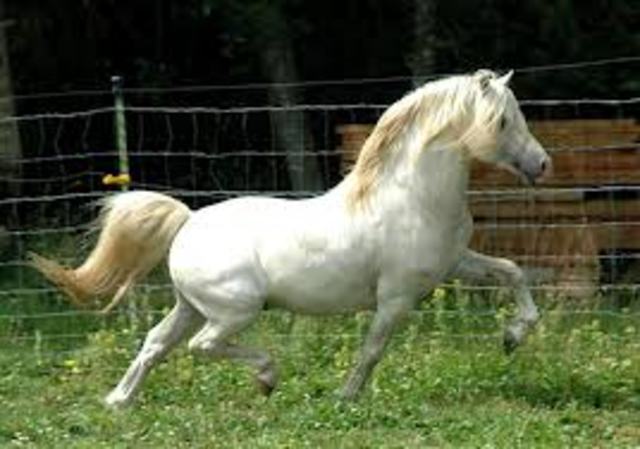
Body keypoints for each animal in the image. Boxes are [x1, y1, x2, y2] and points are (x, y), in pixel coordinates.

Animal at [31, 69, 551, 408]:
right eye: (503, 121)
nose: (542, 164)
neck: (411, 196)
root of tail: (188, 221)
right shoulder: (397, 297)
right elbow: (373, 350)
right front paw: (346, 398)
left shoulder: (454, 262)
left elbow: (512, 273)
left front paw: (513, 337)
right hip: (234, 310)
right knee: (202, 346)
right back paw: (266, 377)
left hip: (191, 305)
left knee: (156, 342)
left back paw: (118, 401)